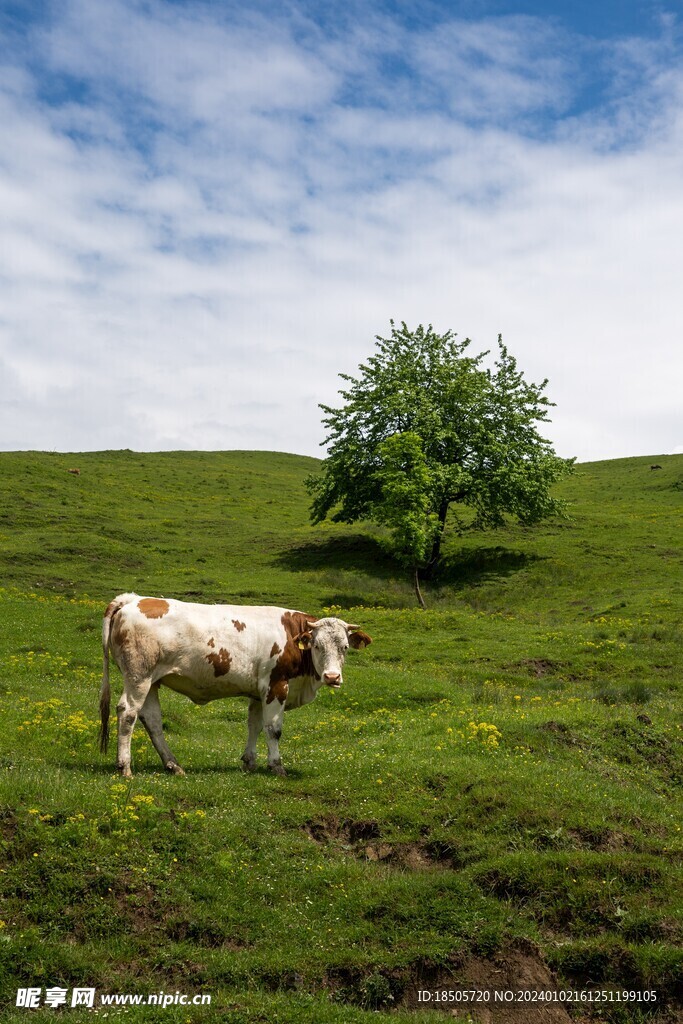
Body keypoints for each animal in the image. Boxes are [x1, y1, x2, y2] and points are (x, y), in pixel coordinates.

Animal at [98, 593, 370, 774]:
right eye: (317, 645)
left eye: (345, 647)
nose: (332, 677)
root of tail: (133, 599)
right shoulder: (276, 685)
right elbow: (273, 729)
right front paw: (276, 766)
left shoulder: (260, 691)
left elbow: (254, 726)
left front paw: (250, 762)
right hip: (138, 676)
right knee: (127, 713)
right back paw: (125, 767)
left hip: (151, 681)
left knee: (152, 720)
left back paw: (173, 765)